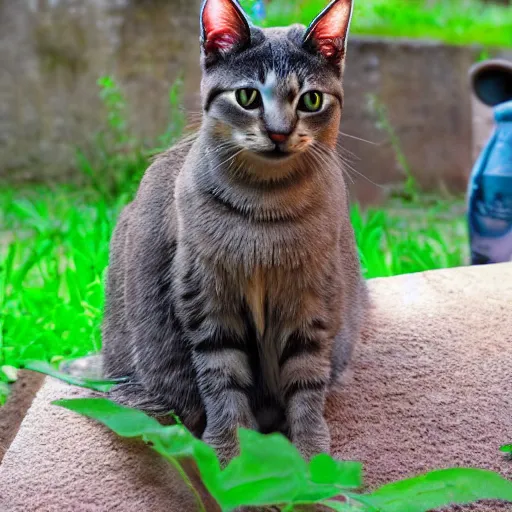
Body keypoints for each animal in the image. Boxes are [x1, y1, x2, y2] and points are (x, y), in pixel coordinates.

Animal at [98, 0, 366, 464]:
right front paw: (229, 454)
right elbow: (222, 381)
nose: (278, 132)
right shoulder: (207, 300)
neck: (265, 210)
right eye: (247, 96)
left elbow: (306, 382)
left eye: (311, 99)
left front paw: (311, 458)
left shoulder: (311, 301)